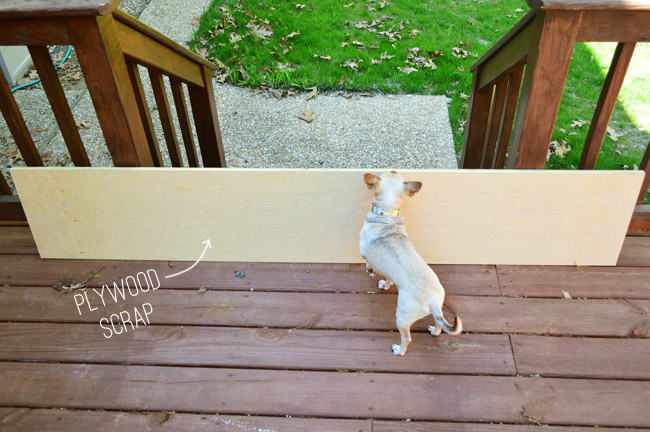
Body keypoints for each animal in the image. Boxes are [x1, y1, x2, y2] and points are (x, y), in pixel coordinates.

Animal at [360, 170, 460, 356]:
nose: (394, 169)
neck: (388, 215)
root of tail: (432, 301)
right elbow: (388, 278)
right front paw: (385, 284)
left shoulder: (363, 253)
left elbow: (368, 264)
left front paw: (370, 272)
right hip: (438, 310)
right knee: (439, 325)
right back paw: (434, 331)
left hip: (402, 318)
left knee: (407, 338)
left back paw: (399, 350)